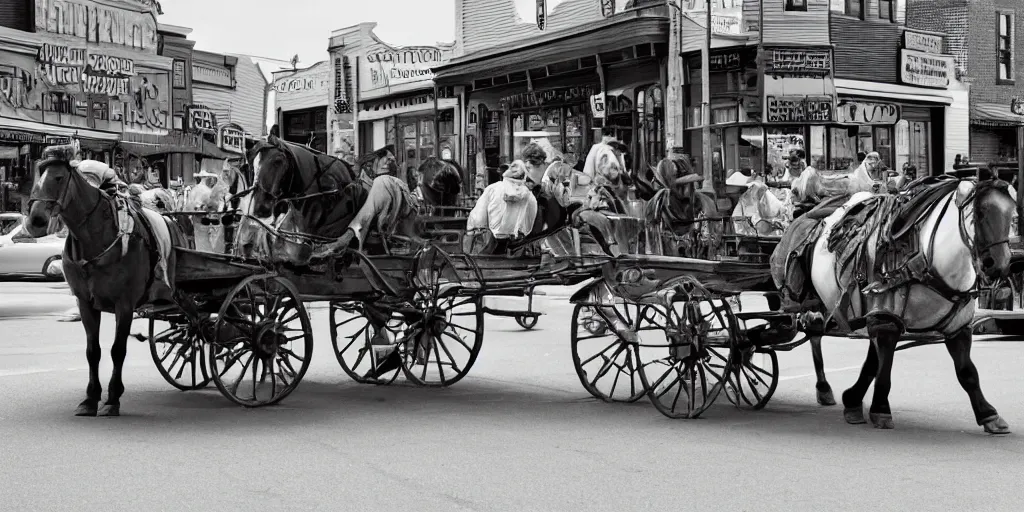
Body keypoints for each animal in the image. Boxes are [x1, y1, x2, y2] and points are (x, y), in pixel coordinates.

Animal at [26, 146, 180, 417]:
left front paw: (113, 398)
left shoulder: (125, 305)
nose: (35, 221)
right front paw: (90, 398)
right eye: (37, 177)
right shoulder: (85, 303)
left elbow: (118, 350)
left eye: (58, 178)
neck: (98, 237)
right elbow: (93, 351)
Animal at [778, 176, 1019, 432]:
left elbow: (967, 372)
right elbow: (883, 368)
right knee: (814, 334)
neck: (929, 259)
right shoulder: (886, 319)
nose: (999, 264)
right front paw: (880, 409)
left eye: (1012, 214)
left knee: (816, 333)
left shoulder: (958, 326)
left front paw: (989, 415)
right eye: (981, 212)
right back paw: (823, 387)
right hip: (812, 302)